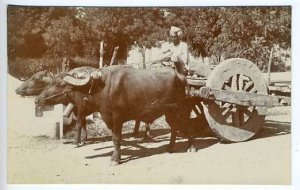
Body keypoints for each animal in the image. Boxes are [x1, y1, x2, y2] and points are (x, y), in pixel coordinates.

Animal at [34, 65, 197, 165]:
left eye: (59, 84)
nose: (37, 99)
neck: (102, 88)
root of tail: (181, 77)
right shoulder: (107, 118)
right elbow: (114, 139)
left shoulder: (117, 118)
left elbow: (116, 138)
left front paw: (115, 159)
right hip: (169, 113)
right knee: (175, 127)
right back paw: (170, 147)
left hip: (181, 110)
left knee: (187, 126)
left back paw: (192, 147)